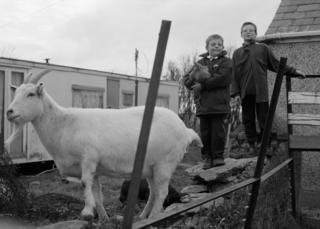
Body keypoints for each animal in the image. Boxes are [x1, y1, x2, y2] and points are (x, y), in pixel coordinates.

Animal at [6, 70, 202, 223]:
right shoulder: (96, 169)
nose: (9, 112)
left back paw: (153, 217)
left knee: (161, 192)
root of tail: (185, 129)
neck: (65, 123)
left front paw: (86, 212)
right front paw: (103, 218)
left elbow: (84, 183)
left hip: (165, 164)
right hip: (151, 168)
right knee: (153, 192)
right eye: (16, 94)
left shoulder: (88, 159)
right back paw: (142, 216)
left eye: (31, 94)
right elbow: (97, 194)